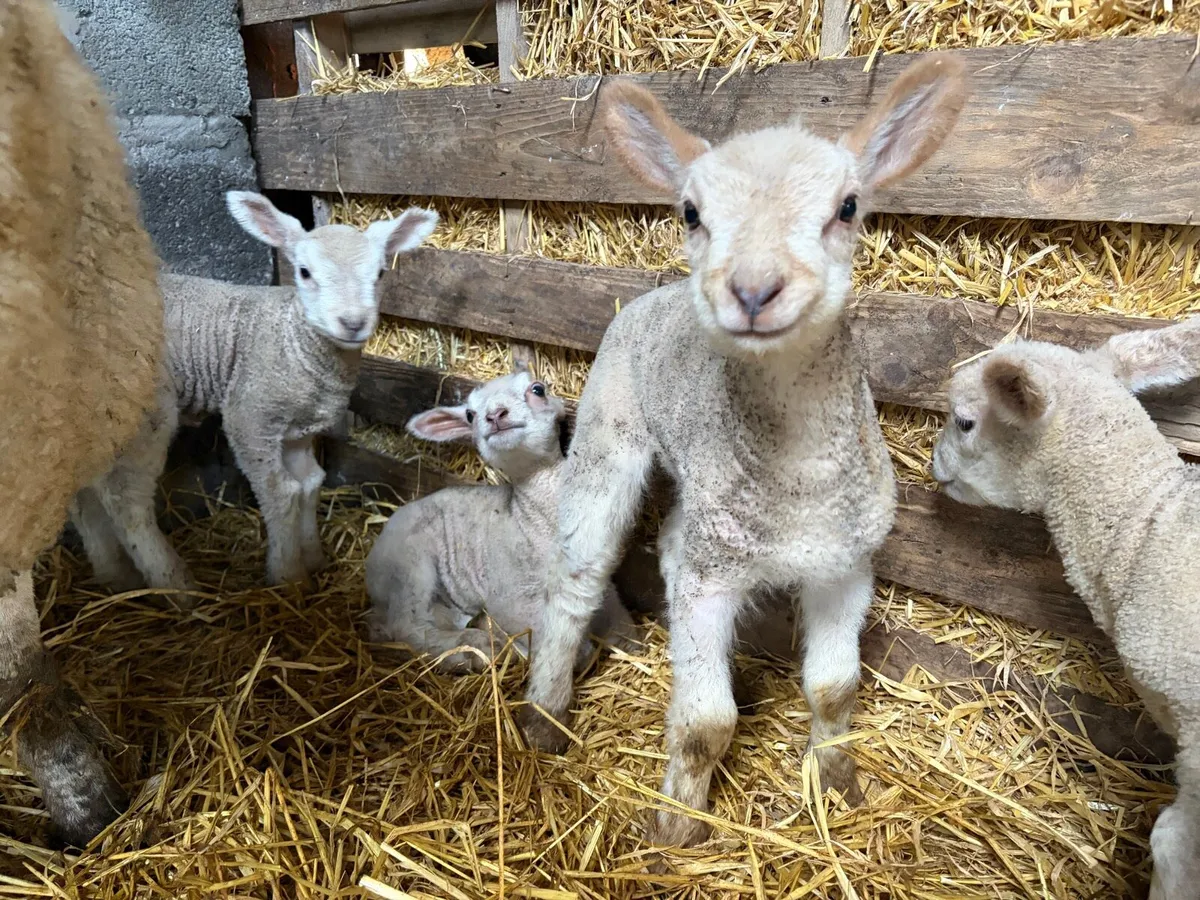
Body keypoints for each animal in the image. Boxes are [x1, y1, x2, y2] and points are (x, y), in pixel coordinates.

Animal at [71, 193, 440, 592]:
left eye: (381, 273)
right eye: (304, 272)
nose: (353, 323)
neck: (295, 338)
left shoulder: (298, 428)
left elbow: (310, 482)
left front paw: (314, 559)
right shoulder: (251, 415)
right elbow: (281, 491)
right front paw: (288, 577)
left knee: (84, 492)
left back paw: (113, 576)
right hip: (143, 411)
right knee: (125, 499)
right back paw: (177, 586)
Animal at [366, 366, 638, 672]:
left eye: (537, 390)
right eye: (469, 414)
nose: (495, 414)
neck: (529, 521)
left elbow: (624, 629)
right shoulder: (509, 597)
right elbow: (572, 648)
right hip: (410, 568)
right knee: (407, 626)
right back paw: (472, 649)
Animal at [517, 58, 968, 848]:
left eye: (849, 206)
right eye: (691, 214)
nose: (754, 290)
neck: (798, 479)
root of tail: (655, 294)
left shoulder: (844, 567)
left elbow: (834, 688)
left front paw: (837, 779)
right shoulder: (711, 584)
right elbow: (706, 724)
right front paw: (678, 828)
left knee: (671, 543)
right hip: (609, 430)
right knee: (574, 579)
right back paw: (545, 716)